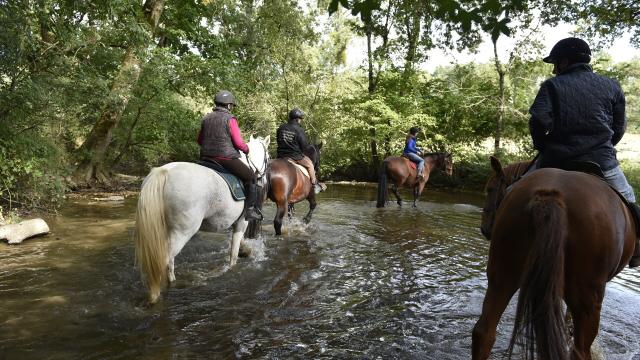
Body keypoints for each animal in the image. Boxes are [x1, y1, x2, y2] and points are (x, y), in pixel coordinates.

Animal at [135, 135, 270, 304]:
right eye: (268, 157)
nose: (264, 181)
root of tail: (164, 172)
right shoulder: (242, 222)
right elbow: (233, 253)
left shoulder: (235, 223)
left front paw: (246, 250)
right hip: (182, 232)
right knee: (165, 260)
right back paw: (157, 294)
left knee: (167, 262)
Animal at [472, 156, 636, 358]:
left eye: (490, 189)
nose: (484, 229)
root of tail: (550, 195)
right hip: (588, 297)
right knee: (579, 350)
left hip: (502, 276)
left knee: (484, 332)